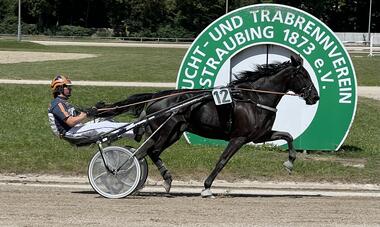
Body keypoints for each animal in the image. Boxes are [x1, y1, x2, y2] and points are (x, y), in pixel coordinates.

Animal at [97, 55, 318, 197]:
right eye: (305, 76)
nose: (315, 97)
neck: (255, 98)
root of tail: (155, 96)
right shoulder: (239, 138)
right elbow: (222, 161)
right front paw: (206, 187)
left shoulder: (259, 136)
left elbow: (288, 136)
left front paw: (290, 162)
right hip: (166, 130)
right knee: (145, 153)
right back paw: (118, 176)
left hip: (173, 133)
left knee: (151, 152)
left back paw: (165, 180)